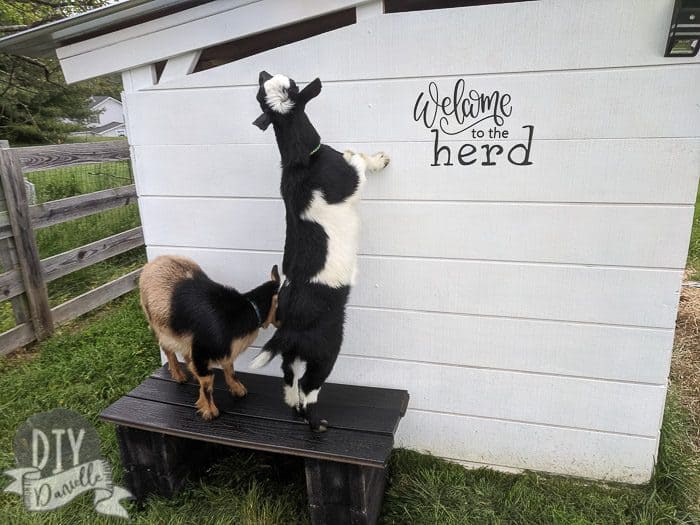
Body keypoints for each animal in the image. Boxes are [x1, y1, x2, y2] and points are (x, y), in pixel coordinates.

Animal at [139, 256, 282, 420]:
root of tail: (152, 263)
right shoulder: (202, 350)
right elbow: (208, 381)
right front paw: (210, 412)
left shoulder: (222, 350)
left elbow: (230, 369)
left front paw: (238, 390)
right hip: (158, 325)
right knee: (167, 349)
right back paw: (180, 377)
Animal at [249, 70, 392, 430]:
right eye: (294, 86)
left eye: (266, 90)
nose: (262, 72)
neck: (303, 160)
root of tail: (288, 330)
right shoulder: (351, 181)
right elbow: (358, 160)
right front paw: (379, 158)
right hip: (325, 353)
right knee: (309, 389)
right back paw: (318, 424)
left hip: (292, 356)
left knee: (290, 381)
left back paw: (294, 408)